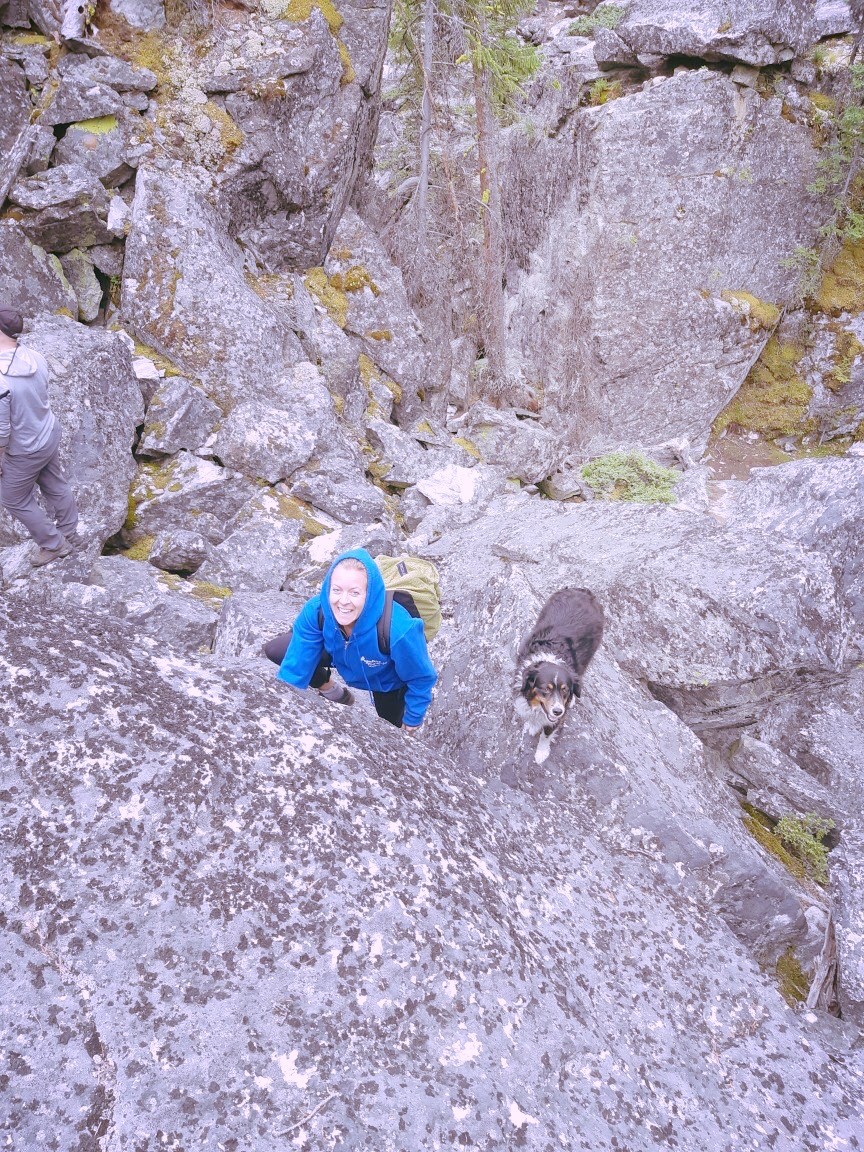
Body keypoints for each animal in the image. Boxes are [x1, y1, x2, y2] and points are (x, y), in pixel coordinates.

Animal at [518, 585, 603, 764]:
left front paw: (541, 754)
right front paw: (532, 725)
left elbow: (547, 733)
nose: (558, 710)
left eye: (565, 690)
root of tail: (584, 591)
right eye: (545, 689)